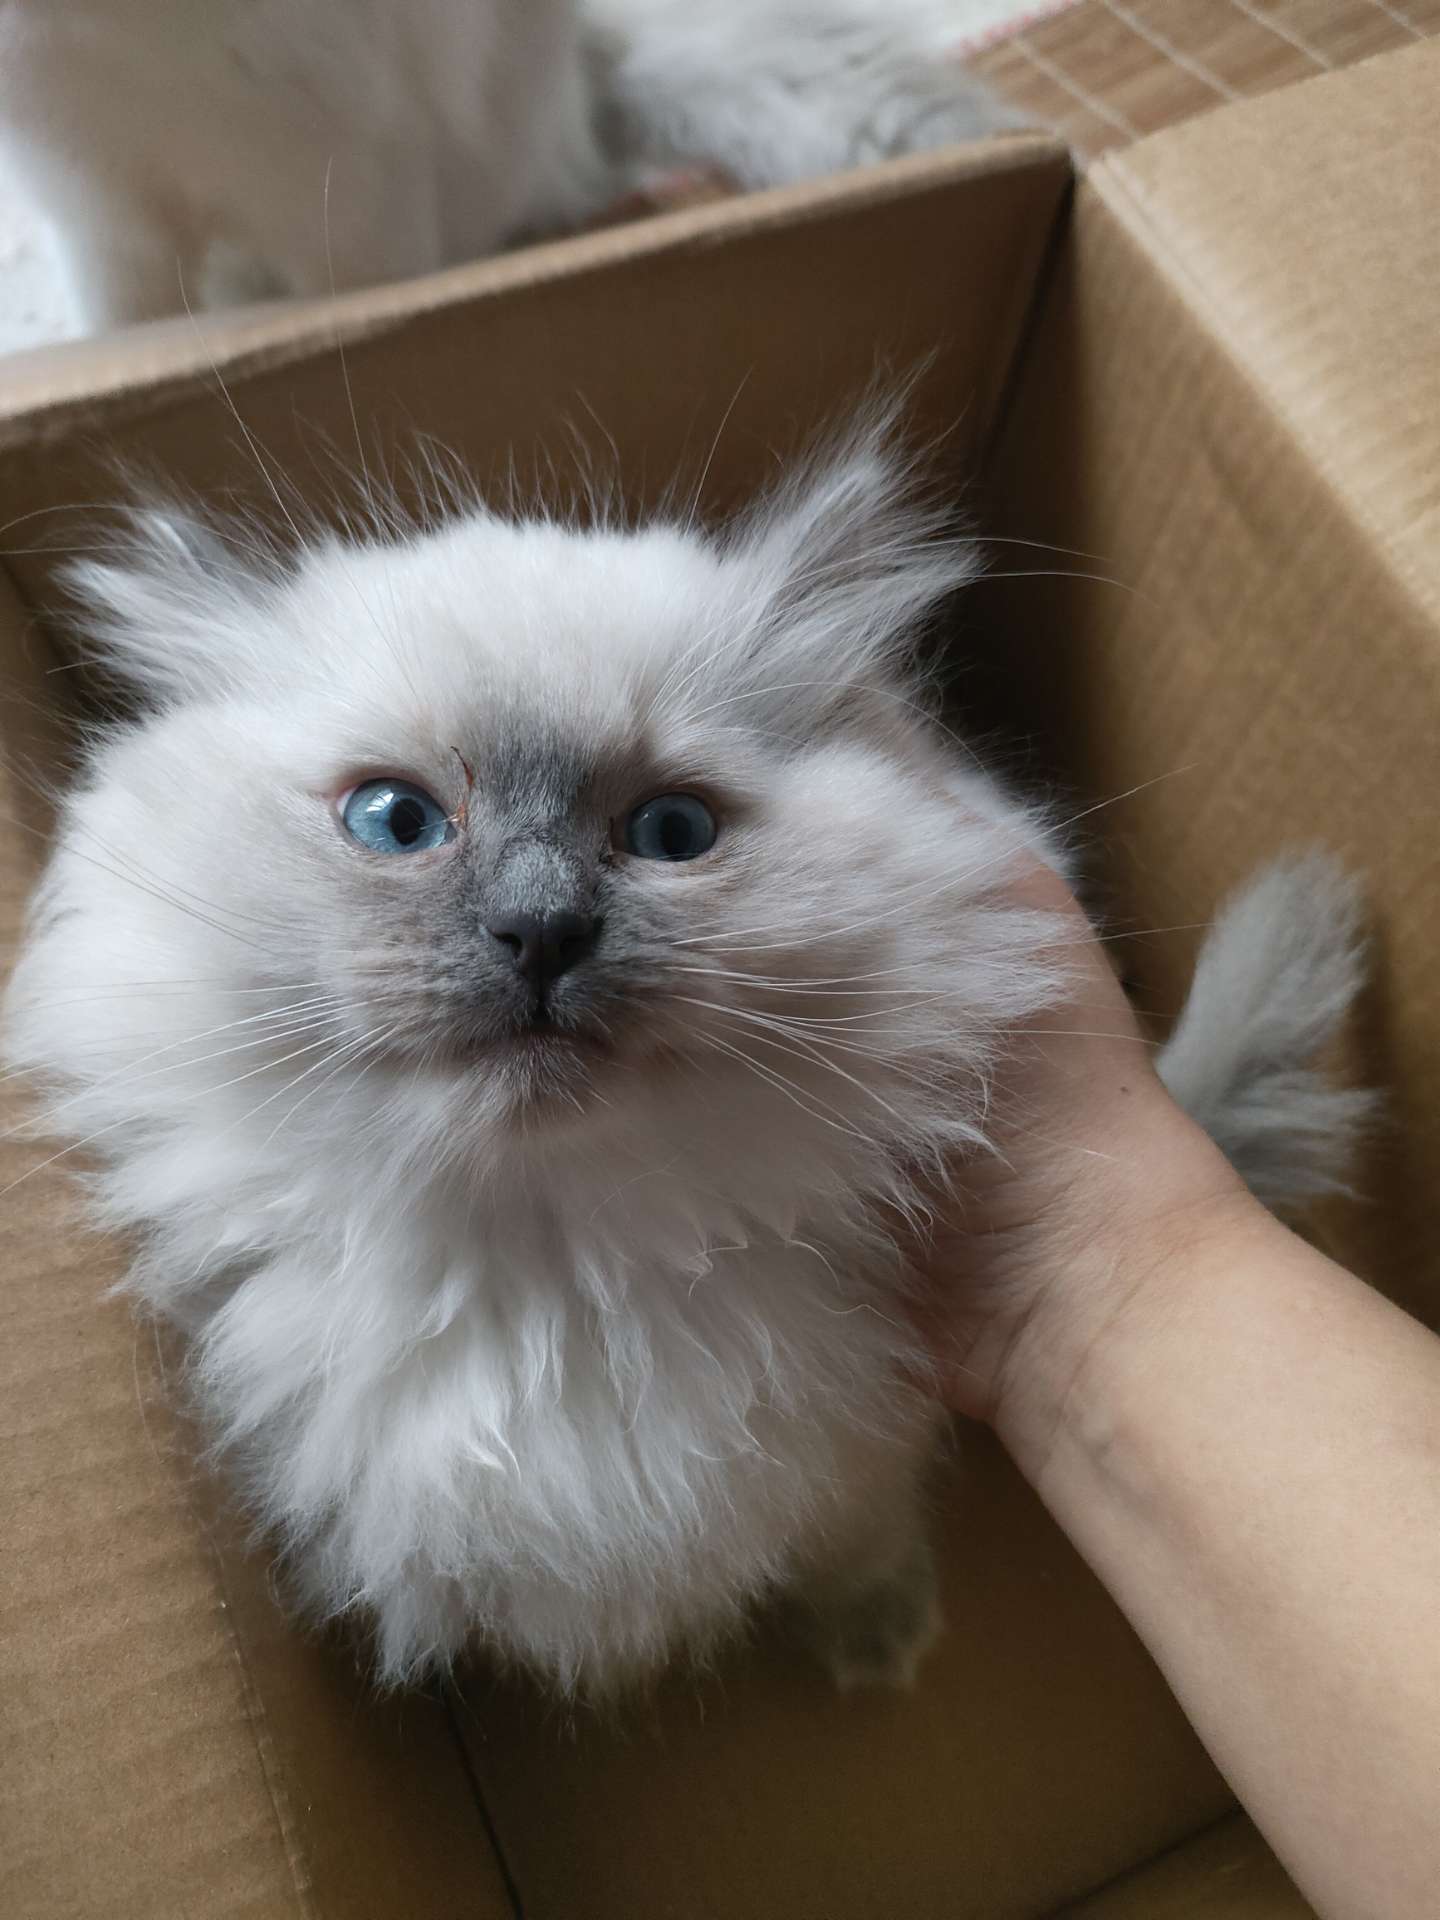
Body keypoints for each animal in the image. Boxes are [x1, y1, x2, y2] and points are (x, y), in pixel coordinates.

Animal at [3, 417, 1367, 1693]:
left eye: (672, 832)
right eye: (395, 822)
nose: (540, 932)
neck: (553, 1284)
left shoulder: (856, 1452)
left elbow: (859, 1541)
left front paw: (879, 1640)